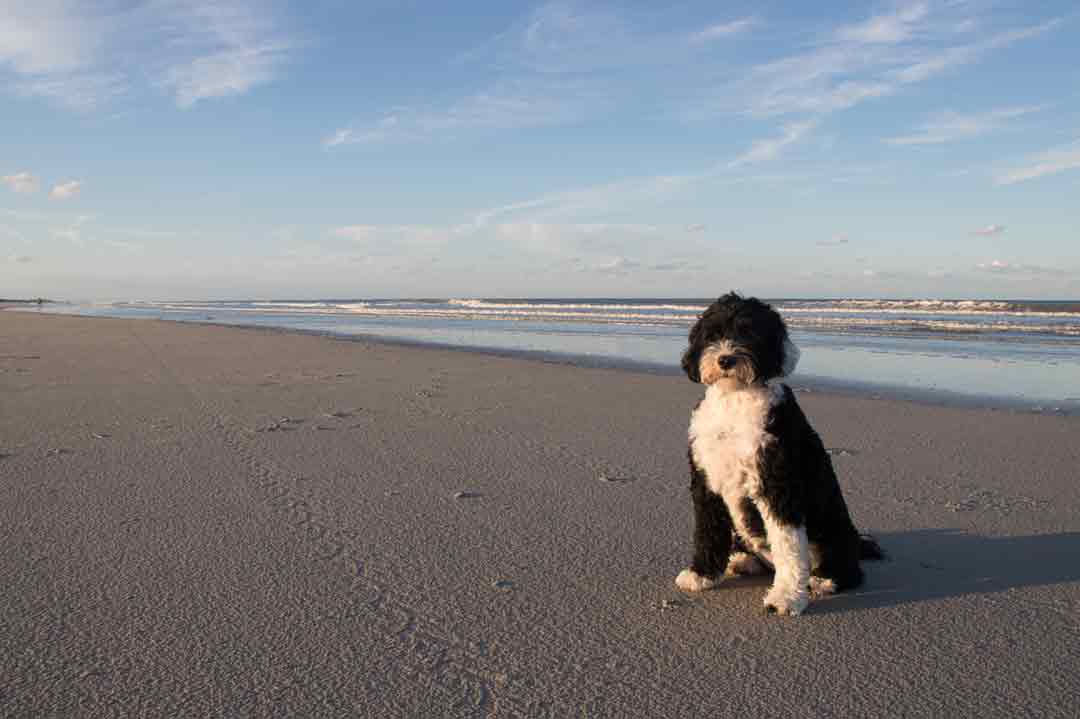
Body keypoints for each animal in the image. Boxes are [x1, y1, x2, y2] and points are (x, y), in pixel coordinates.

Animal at [669, 293, 881, 613]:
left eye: (749, 333)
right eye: (713, 335)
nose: (725, 359)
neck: (734, 399)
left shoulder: (777, 484)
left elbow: (787, 543)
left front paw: (785, 598)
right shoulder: (706, 481)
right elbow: (707, 530)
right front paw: (701, 575)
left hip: (834, 531)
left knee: (848, 568)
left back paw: (824, 579)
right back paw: (742, 561)